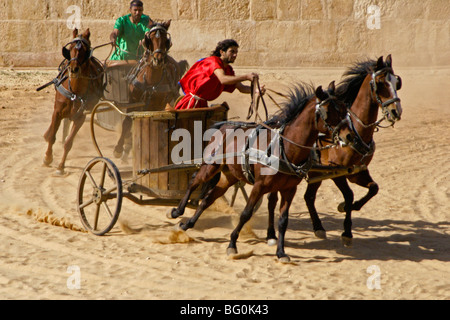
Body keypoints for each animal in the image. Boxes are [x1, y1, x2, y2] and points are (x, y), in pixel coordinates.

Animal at [42, 29, 104, 175]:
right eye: (69, 49)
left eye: (85, 51)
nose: (74, 68)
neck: (75, 91)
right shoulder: (57, 112)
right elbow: (52, 136)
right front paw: (48, 157)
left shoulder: (80, 117)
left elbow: (68, 142)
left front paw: (61, 166)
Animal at [114, 19, 190, 159]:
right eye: (150, 38)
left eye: (166, 39)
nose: (158, 60)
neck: (151, 79)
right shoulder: (133, 100)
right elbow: (127, 122)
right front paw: (119, 148)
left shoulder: (158, 103)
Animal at [168, 80, 356, 262]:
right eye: (327, 111)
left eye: (344, 109)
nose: (349, 136)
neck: (285, 148)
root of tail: (224, 125)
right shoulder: (259, 186)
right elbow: (246, 214)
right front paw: (232, 244)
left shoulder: (289, 190)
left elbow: (283, 221)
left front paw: (281, 252)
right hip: (210, 166)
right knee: (194, 182)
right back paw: (177, 212)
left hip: (230, 177)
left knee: (209, 198)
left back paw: (188, 224)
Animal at [266, 54, 402, 248]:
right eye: (381, 82)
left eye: (397, 82)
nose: (396, 111)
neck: (357, 132)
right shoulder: (336, 172)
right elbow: (349, 195)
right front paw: (346, 231)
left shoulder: (357, 172)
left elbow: (373, 188)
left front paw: (348, 208)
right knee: (272, 200)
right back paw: (271, 235)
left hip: (315, 174)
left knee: (309, 197)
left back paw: (318, 227)